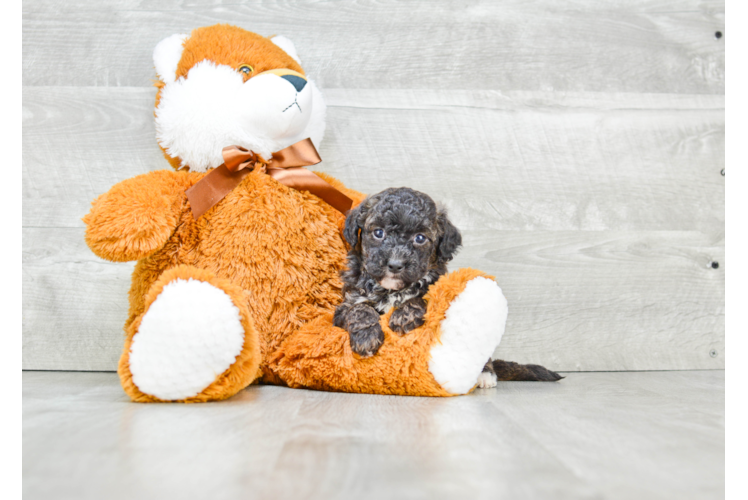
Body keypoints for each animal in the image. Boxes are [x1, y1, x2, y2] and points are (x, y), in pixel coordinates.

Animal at [334, 188, 560, 386]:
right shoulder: (345, 304)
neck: (392, 290)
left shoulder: (437, 287)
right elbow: (359, 309)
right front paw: (366, 338)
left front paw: (404, 316)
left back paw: (485, 375)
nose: (396, 264)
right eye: (378, 233)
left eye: (420, 238)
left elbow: (421, 299)